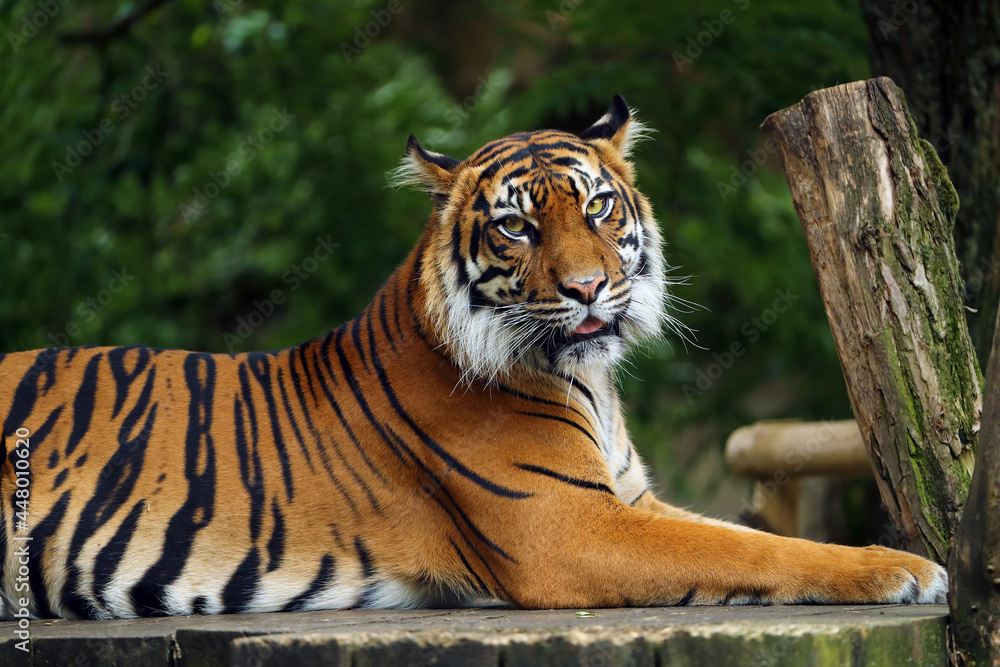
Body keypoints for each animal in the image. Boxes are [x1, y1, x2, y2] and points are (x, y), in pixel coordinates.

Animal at [0, 95, 946, 621]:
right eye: (517, 226)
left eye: (598, 207)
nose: (589, 288)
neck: (586, 380)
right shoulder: (571, 527)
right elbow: (758, 553)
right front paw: (906, 568)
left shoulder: (628, 499)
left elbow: (746, 535)